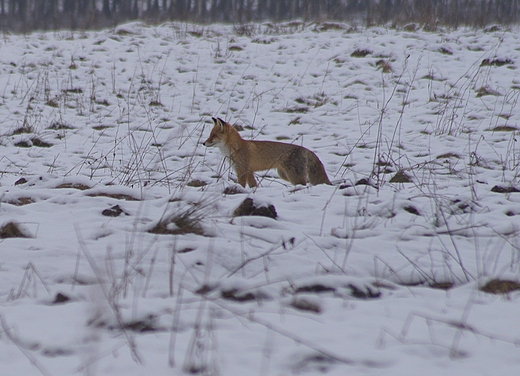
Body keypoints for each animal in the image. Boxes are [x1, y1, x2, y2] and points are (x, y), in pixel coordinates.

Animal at [201, 117, 332, 188]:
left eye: (213, 136)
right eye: (210, 135)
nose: (203, 143)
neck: (236, 148)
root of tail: (307, 149)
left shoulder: (242, 171)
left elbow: (241, 185)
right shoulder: (249, 172)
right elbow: (253, 185)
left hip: (293, 176)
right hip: (284, 175)